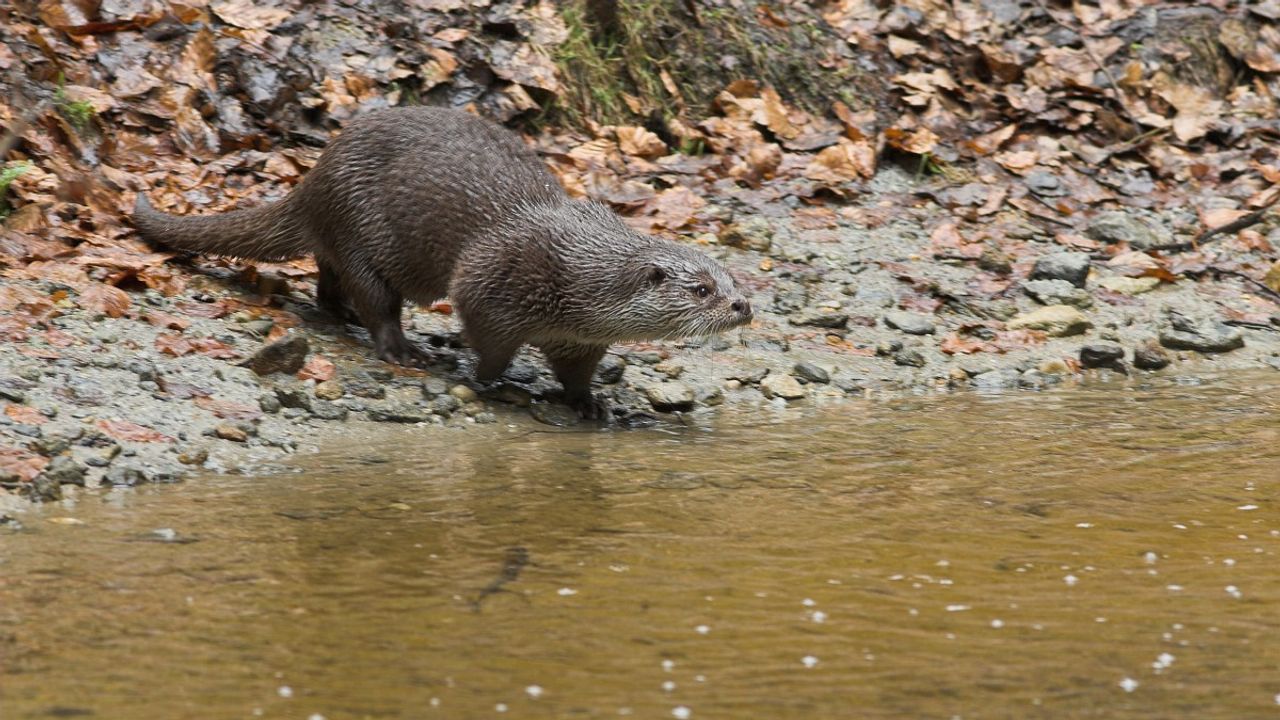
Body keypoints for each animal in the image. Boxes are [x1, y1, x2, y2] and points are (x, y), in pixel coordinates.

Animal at [133, 107, 753, 417]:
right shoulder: (492, 284)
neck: (574, 281)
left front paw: (588, 402)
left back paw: (341, 314)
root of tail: (316, 177)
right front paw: (491, 381)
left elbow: (576, 371)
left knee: (328, 276)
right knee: (374, 297)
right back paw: (400, 348)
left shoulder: (578, 337)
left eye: (734, 279)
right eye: (702, 289)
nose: (744, 306)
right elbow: (489, 343)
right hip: (360, 227)